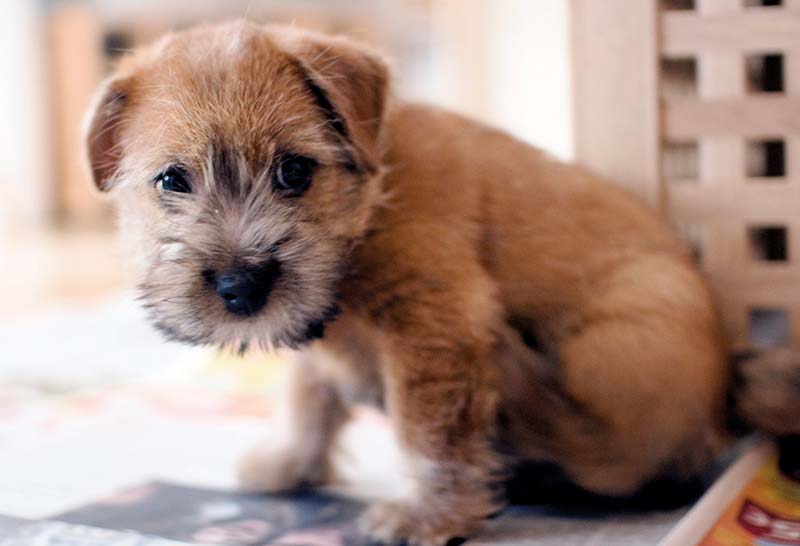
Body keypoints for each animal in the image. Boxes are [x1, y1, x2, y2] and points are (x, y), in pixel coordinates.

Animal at [83, 20, 800, 544]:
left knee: (613, 455)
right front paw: (286, 464)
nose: (241, 288)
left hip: (617, 341)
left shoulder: (433, 330)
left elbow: (425, 435)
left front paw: (424, 516)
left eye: (294, 171)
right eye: (172, 180)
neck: (368, 209)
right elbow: (307, 396)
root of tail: (728, 392)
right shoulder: (319, 337)